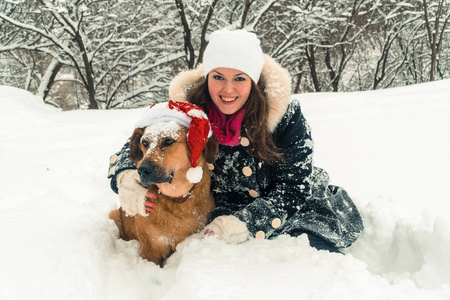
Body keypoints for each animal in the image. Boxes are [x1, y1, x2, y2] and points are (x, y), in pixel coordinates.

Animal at [110, 123, 217, 266]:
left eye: (168, 141)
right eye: (144, 143)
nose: (142, 170)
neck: (176, 198)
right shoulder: (150, 248)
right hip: (114, 215)